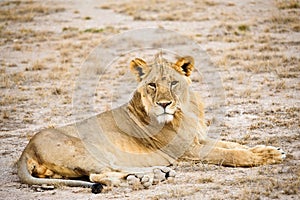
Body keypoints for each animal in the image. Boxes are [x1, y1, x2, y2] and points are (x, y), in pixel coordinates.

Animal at [17, 54, 286, 193]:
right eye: (152, 85)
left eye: (173, 83)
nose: (164, 104)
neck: (185, 109)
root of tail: (25, 151)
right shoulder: (188, 151)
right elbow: (230, 154)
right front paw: (266, 157)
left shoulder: (199, 139)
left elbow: (234, 145)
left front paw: (269, 149)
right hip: (88, 149)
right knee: (101, 174)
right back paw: (149, 177)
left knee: (105, 174)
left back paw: (156, 174)